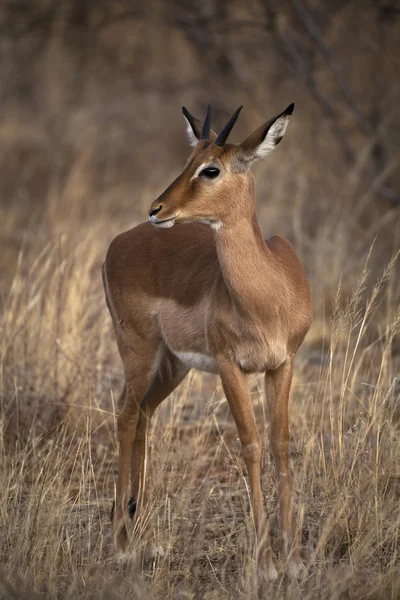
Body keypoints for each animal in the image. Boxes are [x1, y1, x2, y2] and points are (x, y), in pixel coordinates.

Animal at [103, 104, 312, 580]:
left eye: (210, 168)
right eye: (187, 161)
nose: (157, 208)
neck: (268, 294)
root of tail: (118, 241)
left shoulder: (283, 363)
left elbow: (280, 445)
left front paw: (293, 562)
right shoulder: (230, 366)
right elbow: (251, 445)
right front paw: (265, 563)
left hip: (173, 365)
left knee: (144, 414)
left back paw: (146, 539)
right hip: (138, 351)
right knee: (125, 413)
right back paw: (122, 546)